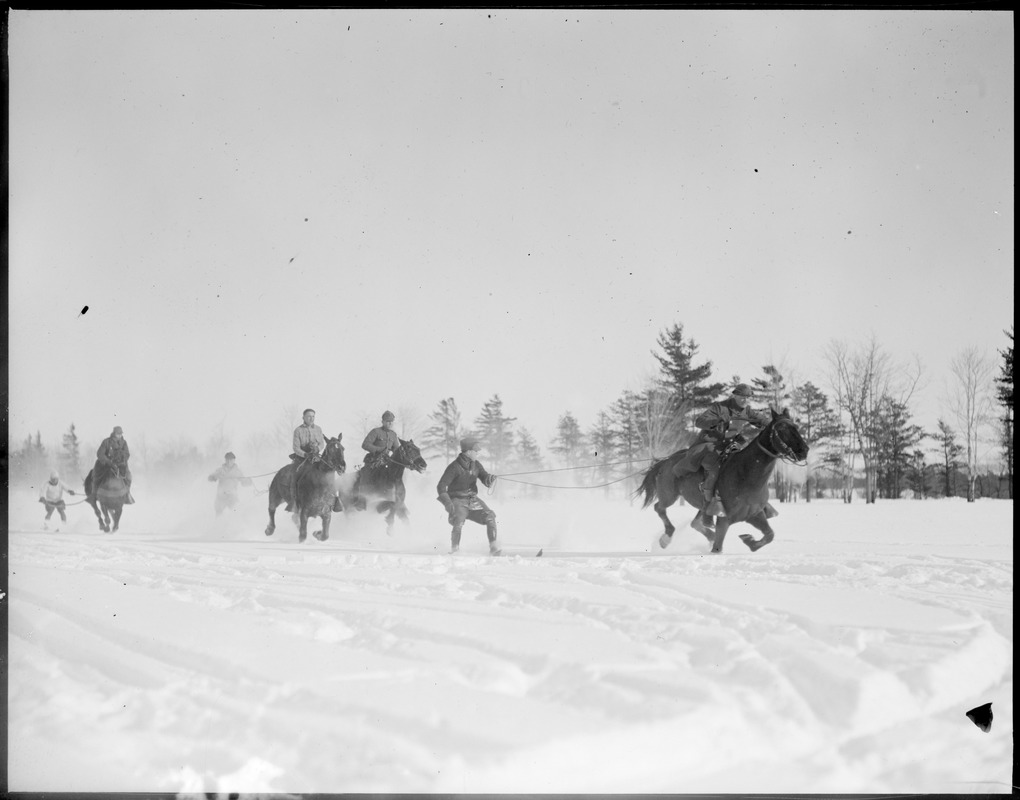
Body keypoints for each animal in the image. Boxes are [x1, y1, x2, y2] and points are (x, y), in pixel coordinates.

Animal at [632, 410, 807, 555]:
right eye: (782, 429)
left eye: (795, 426)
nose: (804, 450)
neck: (746, 475)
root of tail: (665, 461)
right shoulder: (724, 518)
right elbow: (718, 547)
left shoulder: (755, 514)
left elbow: (769, 535)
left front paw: (749, 540)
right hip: (669, 495)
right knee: (659, 508)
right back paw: (666, 537)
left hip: (701, 507)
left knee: (696, 523)